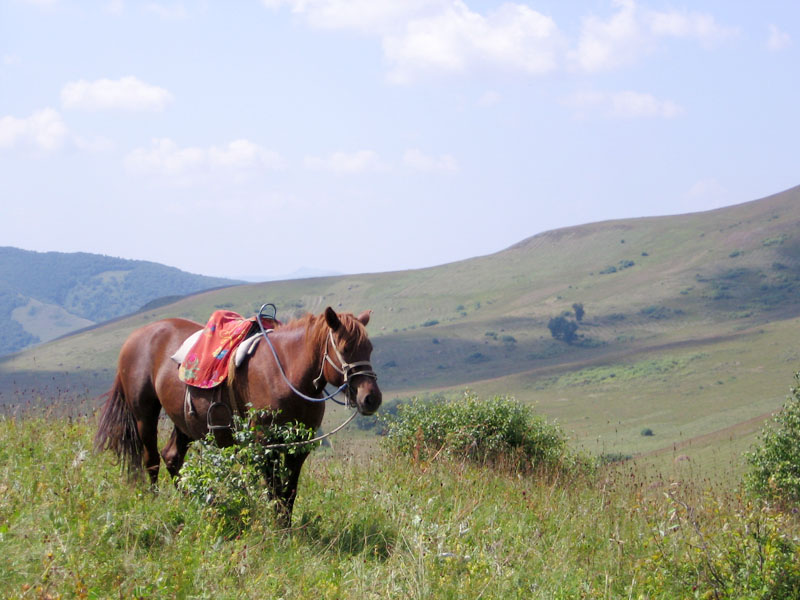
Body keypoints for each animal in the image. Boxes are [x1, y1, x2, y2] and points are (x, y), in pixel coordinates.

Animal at [95, 308, 382, 528]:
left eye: (369, 349)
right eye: (344, 348)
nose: (371, 398)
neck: (286, 373)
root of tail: (136, 336)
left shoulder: (298, 448)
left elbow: (289, 492)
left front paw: (287, 528)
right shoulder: (265, 445)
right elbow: (274, 491)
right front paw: (280, 531)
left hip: (184, 422)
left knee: (171, 456)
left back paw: (195, 502)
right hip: (144, 415)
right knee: (152, 460)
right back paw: (157, 501)